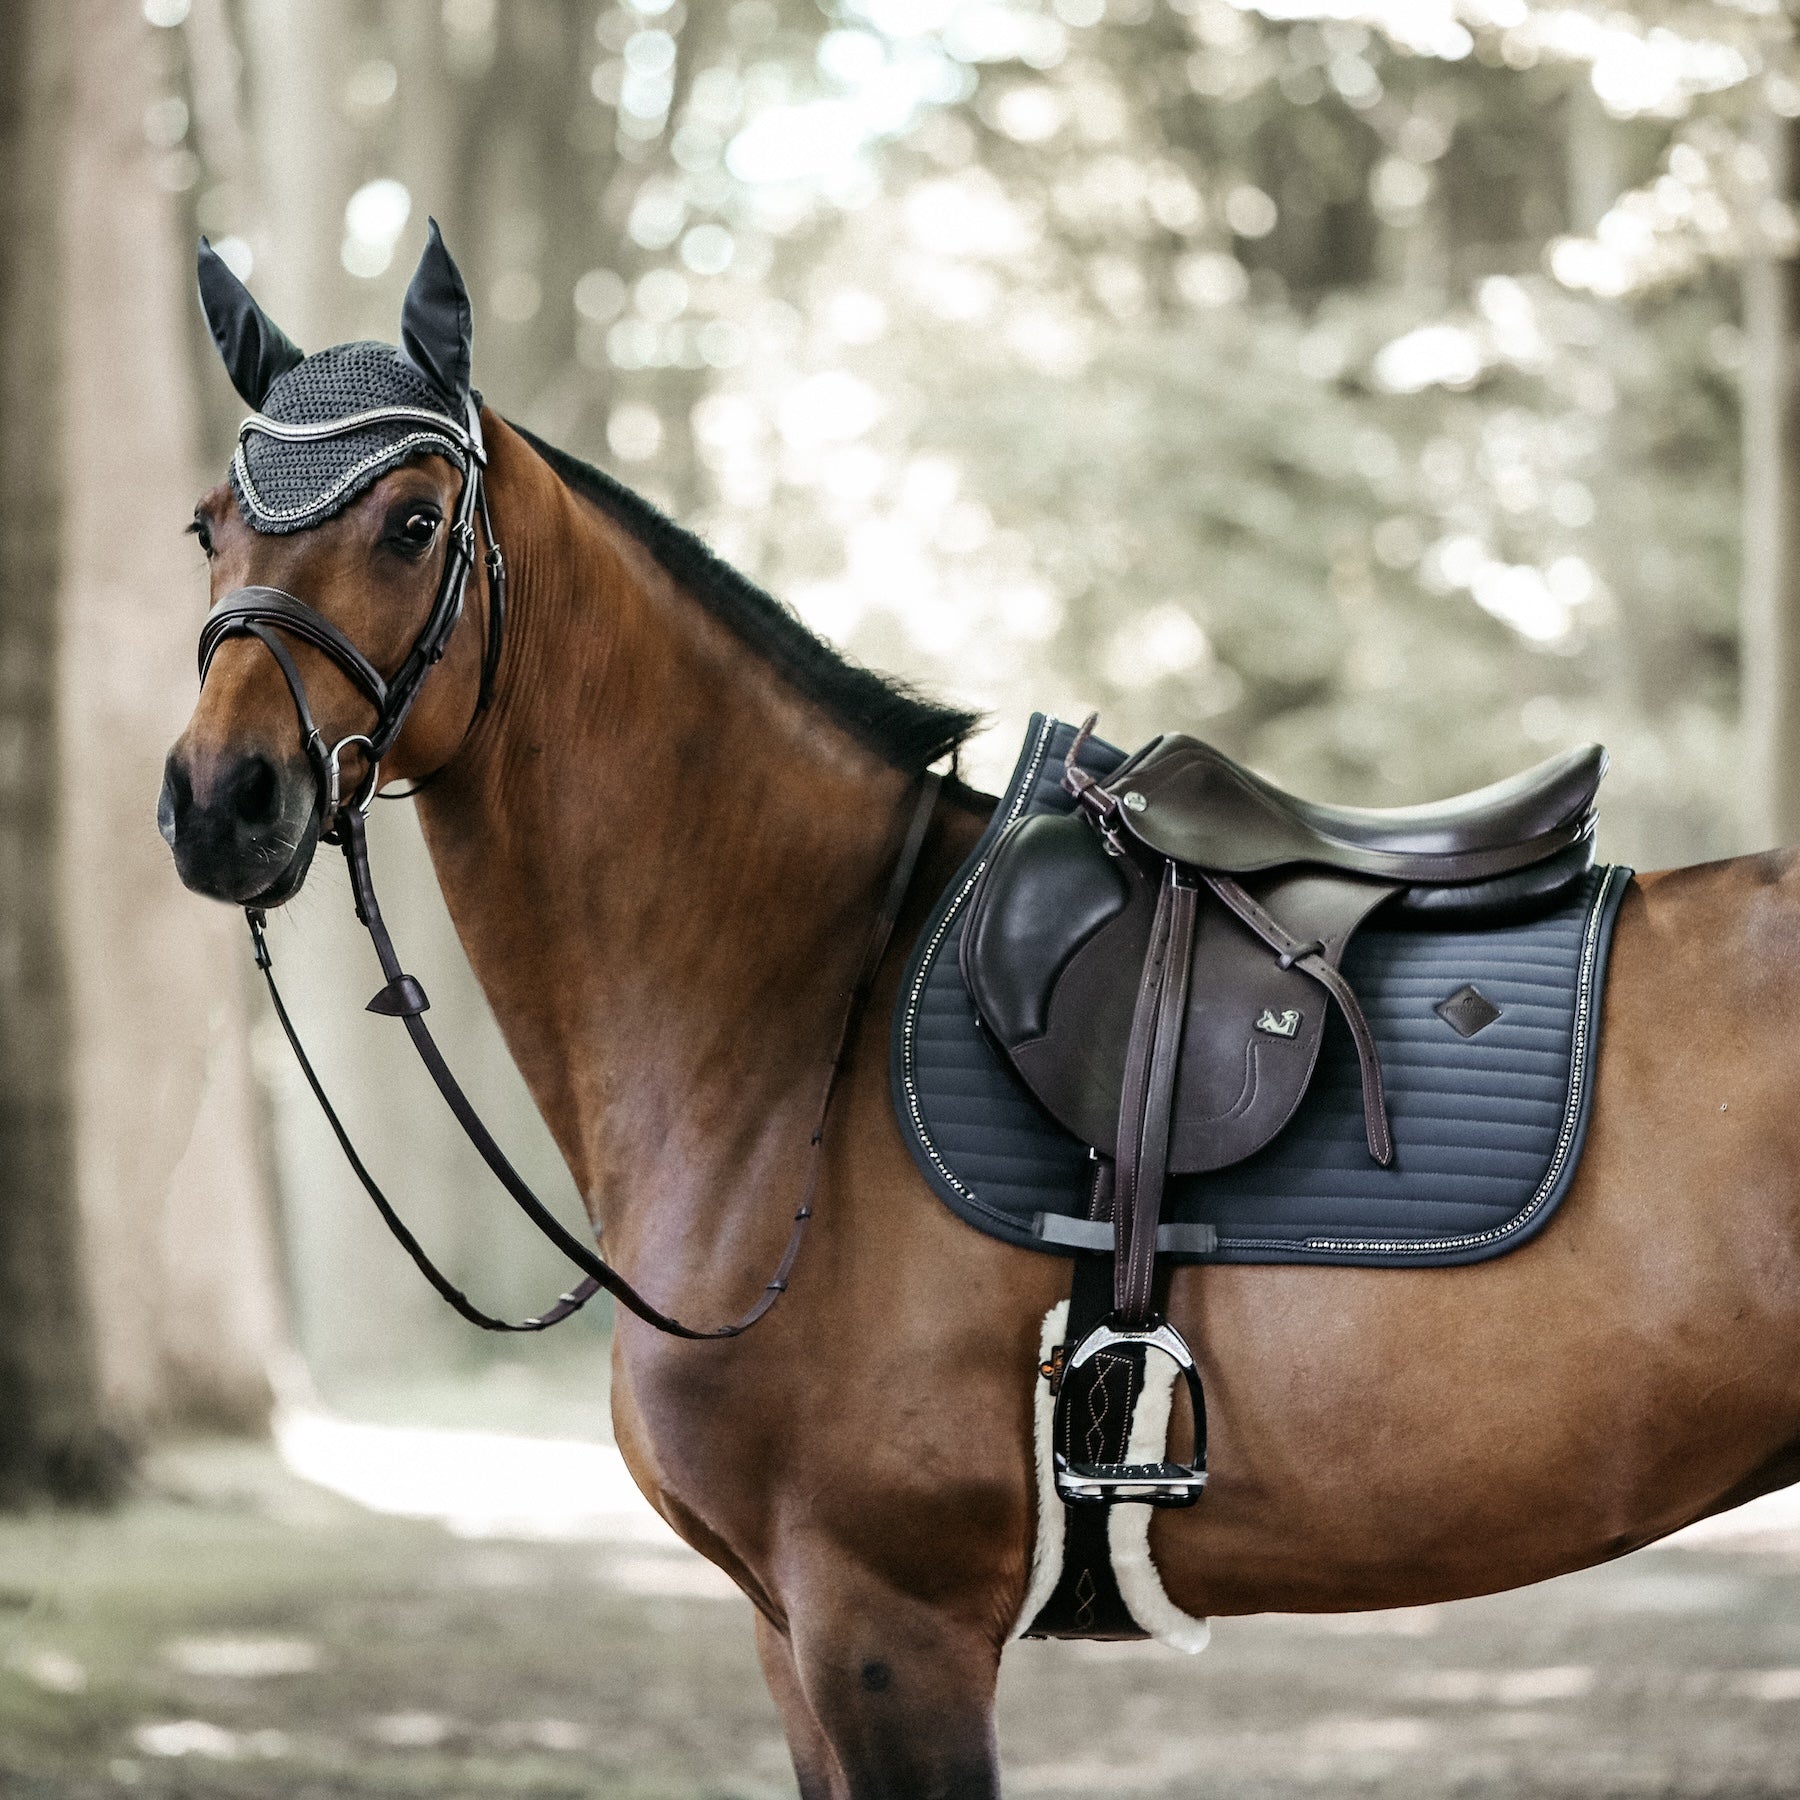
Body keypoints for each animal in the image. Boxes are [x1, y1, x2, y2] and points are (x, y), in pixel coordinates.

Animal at [158, 243, 1800, 1800]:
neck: (805, 1024)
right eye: (208, 526)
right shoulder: (792, 1636)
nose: (221, 802)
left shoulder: (886, 1628)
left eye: (411, 522)